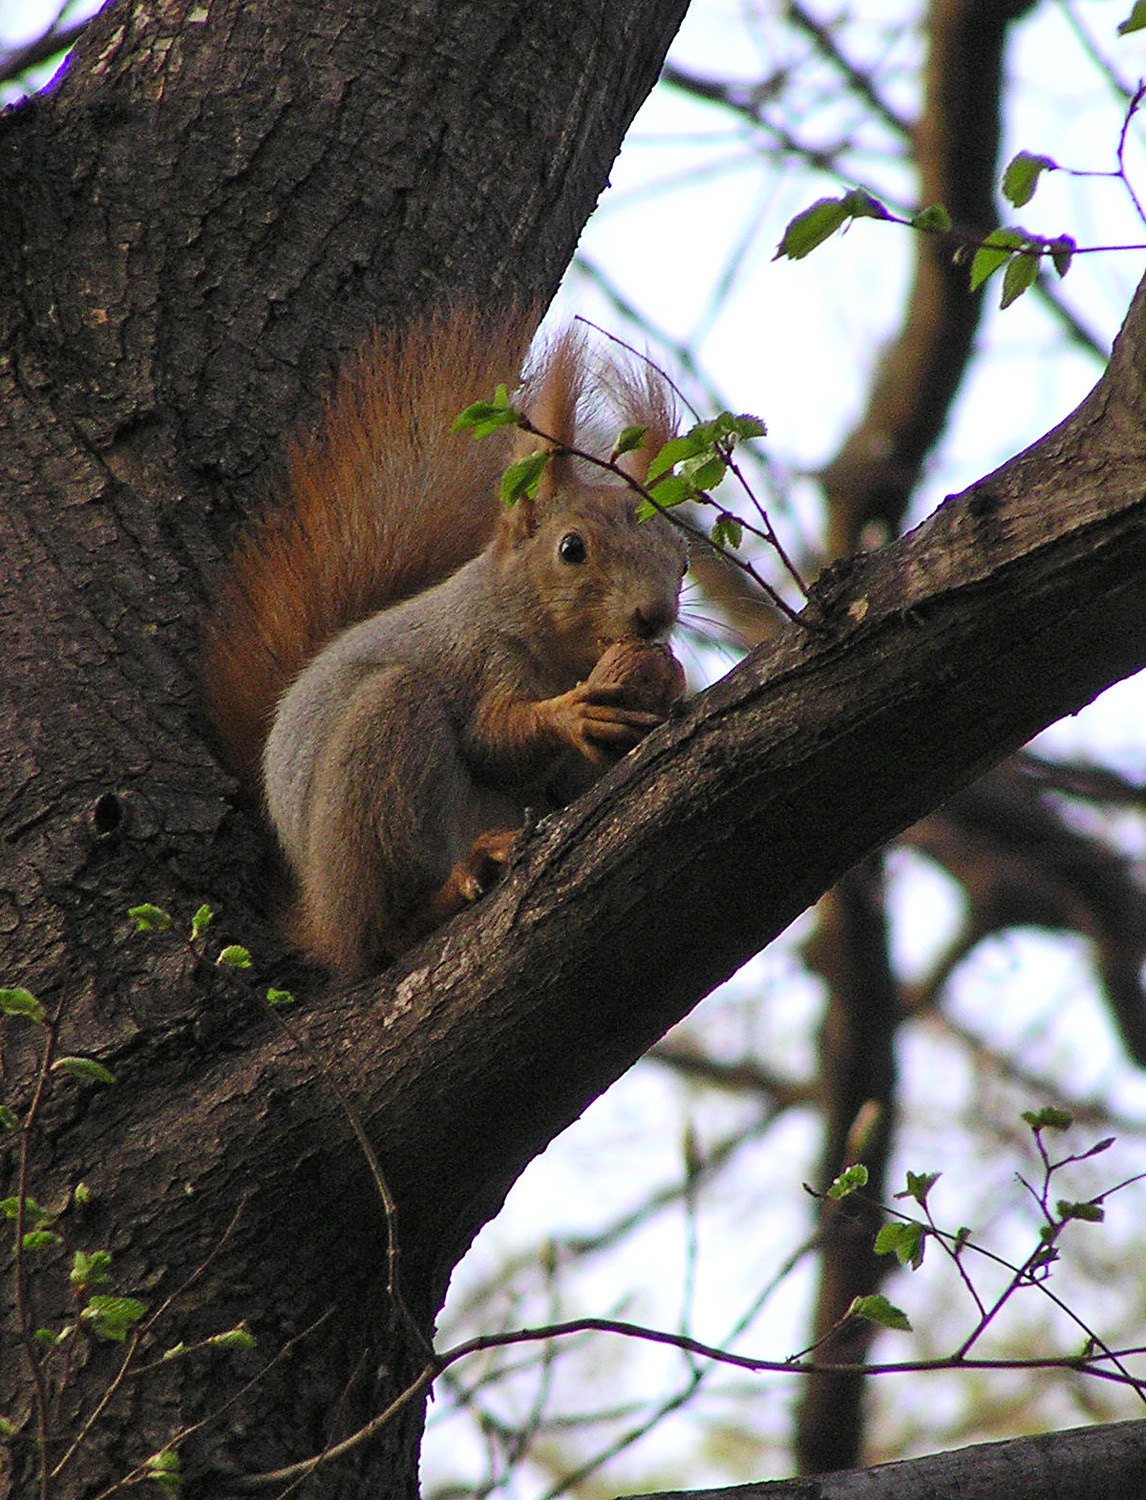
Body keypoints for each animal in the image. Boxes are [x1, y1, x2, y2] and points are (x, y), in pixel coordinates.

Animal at [204, 310, 690, 978]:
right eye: (571, 548)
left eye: (684, 560)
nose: (654, 616)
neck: (562, 655)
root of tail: (317, 912)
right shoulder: (478, 657)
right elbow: (490, 742)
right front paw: (571, 712)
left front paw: (668, 684)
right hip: (381, 750)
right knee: (378, 937)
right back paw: (453, 883)